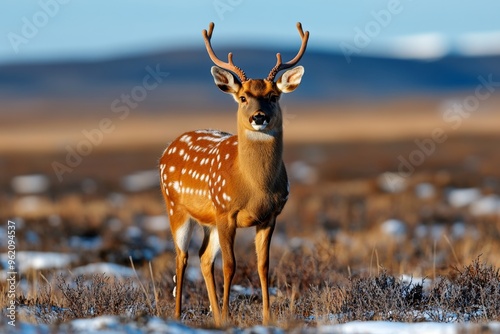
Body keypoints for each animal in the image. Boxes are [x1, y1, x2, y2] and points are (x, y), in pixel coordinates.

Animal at [159, 21, 308, 326]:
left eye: (273, 96)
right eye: (242, 97)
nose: (259, 117)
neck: (255, 186)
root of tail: (169, 147)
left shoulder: (270, 216)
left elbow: (263, 265)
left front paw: (266, 317)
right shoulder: (226, 211)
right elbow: (230, 265)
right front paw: (229, 315)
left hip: (210, 221)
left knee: (204, 258)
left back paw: (214, 316)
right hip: (176, 208)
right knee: (182, 256)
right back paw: (178, 316)